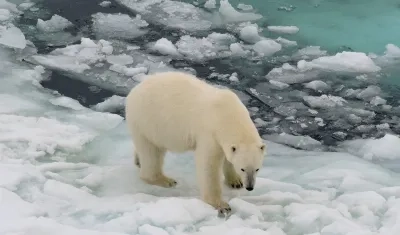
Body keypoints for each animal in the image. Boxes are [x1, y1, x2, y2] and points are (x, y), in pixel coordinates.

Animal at [125, 70, 266, 212]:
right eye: (243, 169)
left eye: (257, 169)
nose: (249, 187)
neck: (228, 114)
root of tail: (134, 91)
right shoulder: (209, 133)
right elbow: (208, 165)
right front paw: (221, 204)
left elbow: (227, 157)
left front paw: (235, 182)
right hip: (147, 120)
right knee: (151, 152)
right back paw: (165, 180)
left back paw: (138, 160)